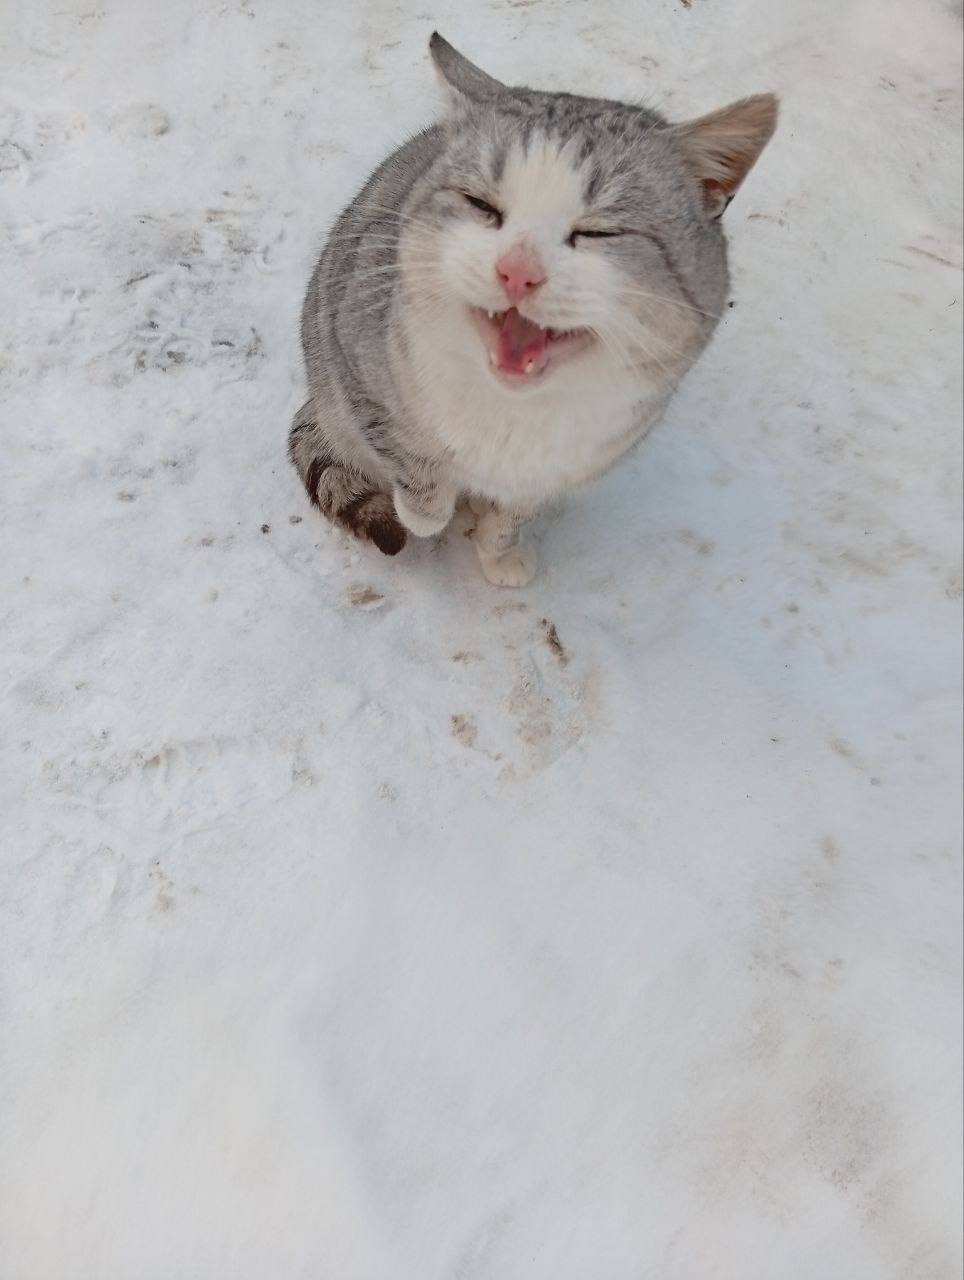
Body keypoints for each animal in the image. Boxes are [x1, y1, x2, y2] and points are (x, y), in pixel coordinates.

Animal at [289, 32, 777, 585]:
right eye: (481, 204)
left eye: (598, 232)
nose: (517, 270)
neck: (514, 414)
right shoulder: (356, 361)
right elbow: (415, 469)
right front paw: (426, 511)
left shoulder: (566, 465)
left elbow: (514, 514)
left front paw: (499, 549)